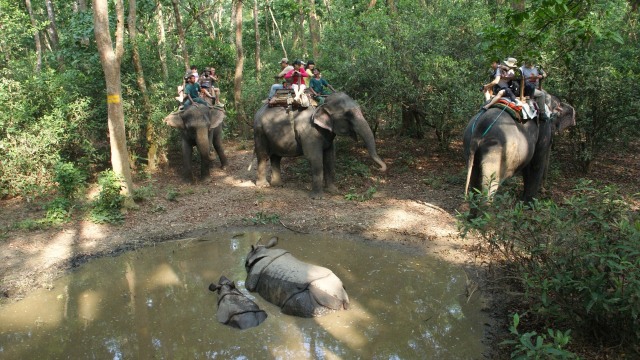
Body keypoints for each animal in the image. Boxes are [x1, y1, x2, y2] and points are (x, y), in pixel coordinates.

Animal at [254, 89, 384, 197]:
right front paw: (317, 197)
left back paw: (278, 185)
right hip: (259, 132)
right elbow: (315, 157)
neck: (321, 105)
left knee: (276, 157)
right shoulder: (308, 131)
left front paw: (333, 191)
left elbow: (330, 158)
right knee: (263, 155)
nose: (381, 169)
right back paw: (263, 185)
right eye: (348, 114)